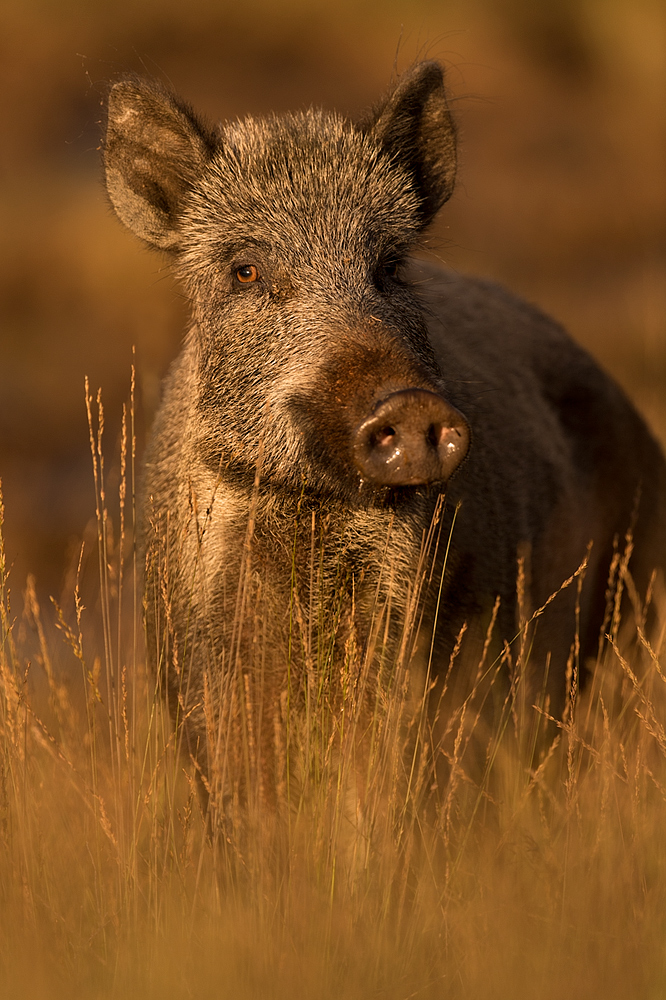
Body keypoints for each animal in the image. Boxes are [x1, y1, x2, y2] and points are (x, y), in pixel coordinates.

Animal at [103, 62, 665, 808]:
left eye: (391, 266)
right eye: (245, 270)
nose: (409, 405)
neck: (310, 517)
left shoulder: (410, 626)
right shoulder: (202, 638)